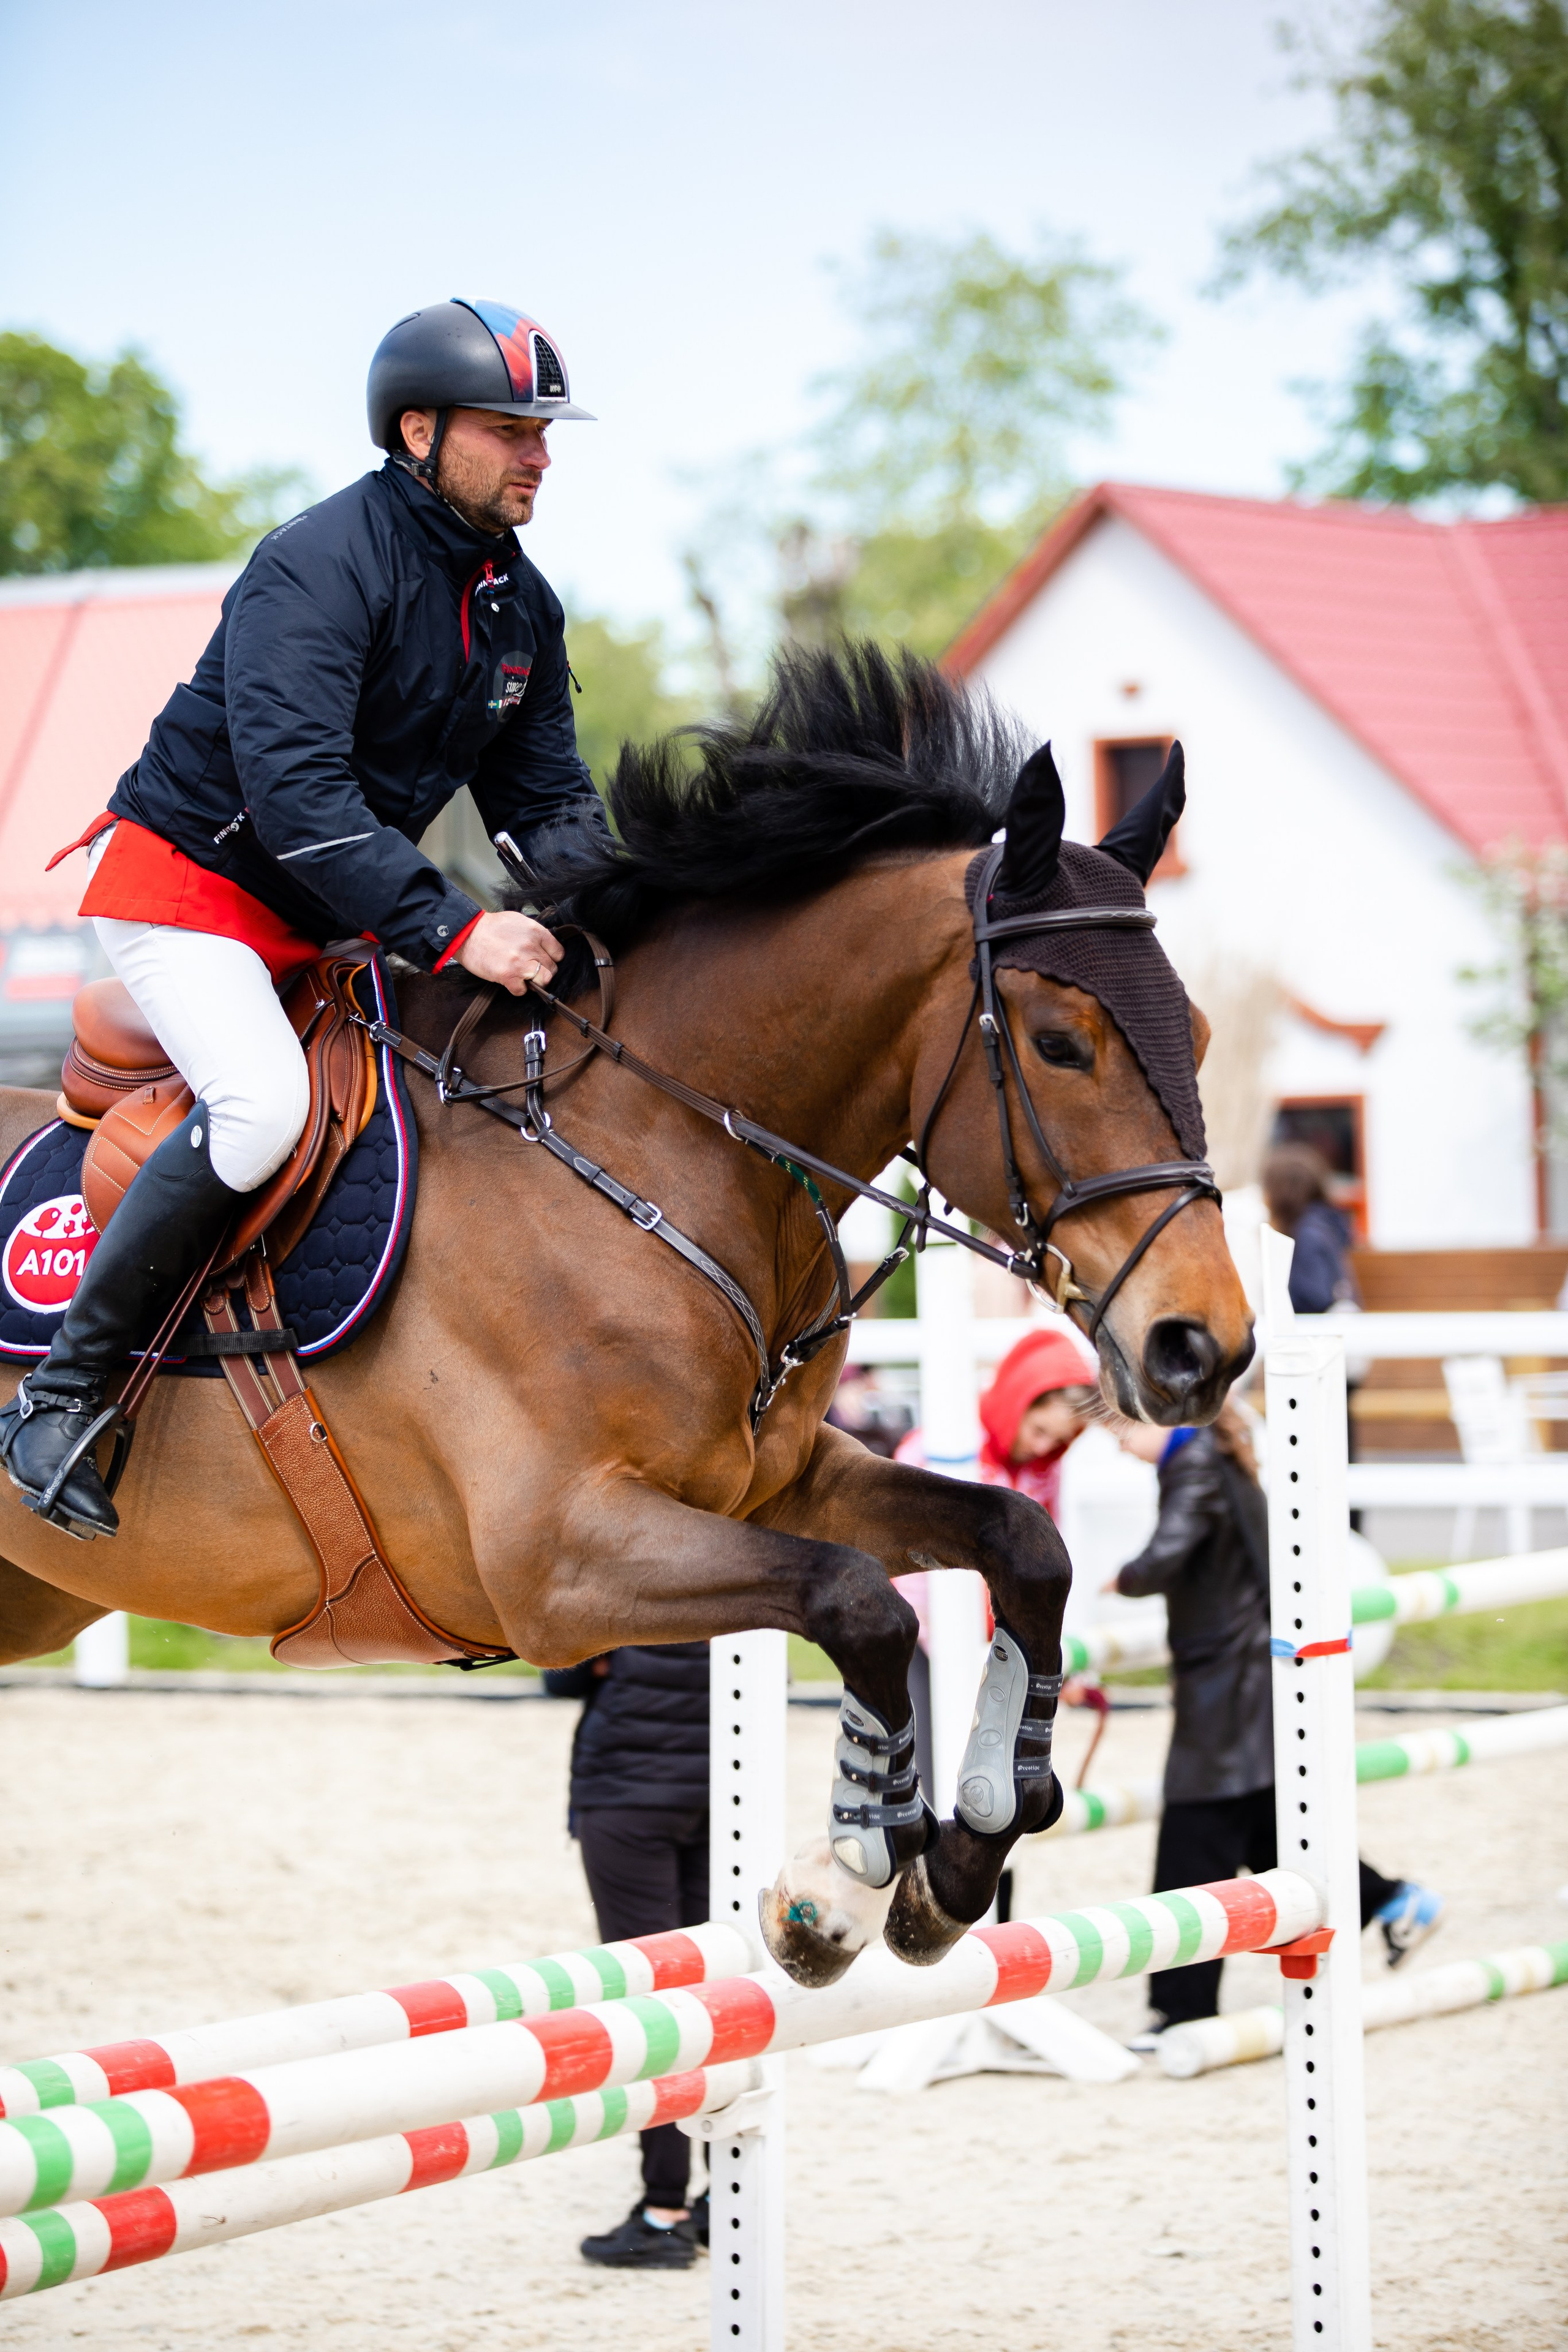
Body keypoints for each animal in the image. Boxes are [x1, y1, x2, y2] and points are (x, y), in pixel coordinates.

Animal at [0, 644, 1253, 1989]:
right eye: (1062, 1044)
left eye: (1198, 1033)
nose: (1204, 1346)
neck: (645, 1150)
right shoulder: (558, 1563)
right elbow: (858, 1600)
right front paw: (846, 1879)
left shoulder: (772, 1484)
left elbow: (1018, 1543)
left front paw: (963, 1847)